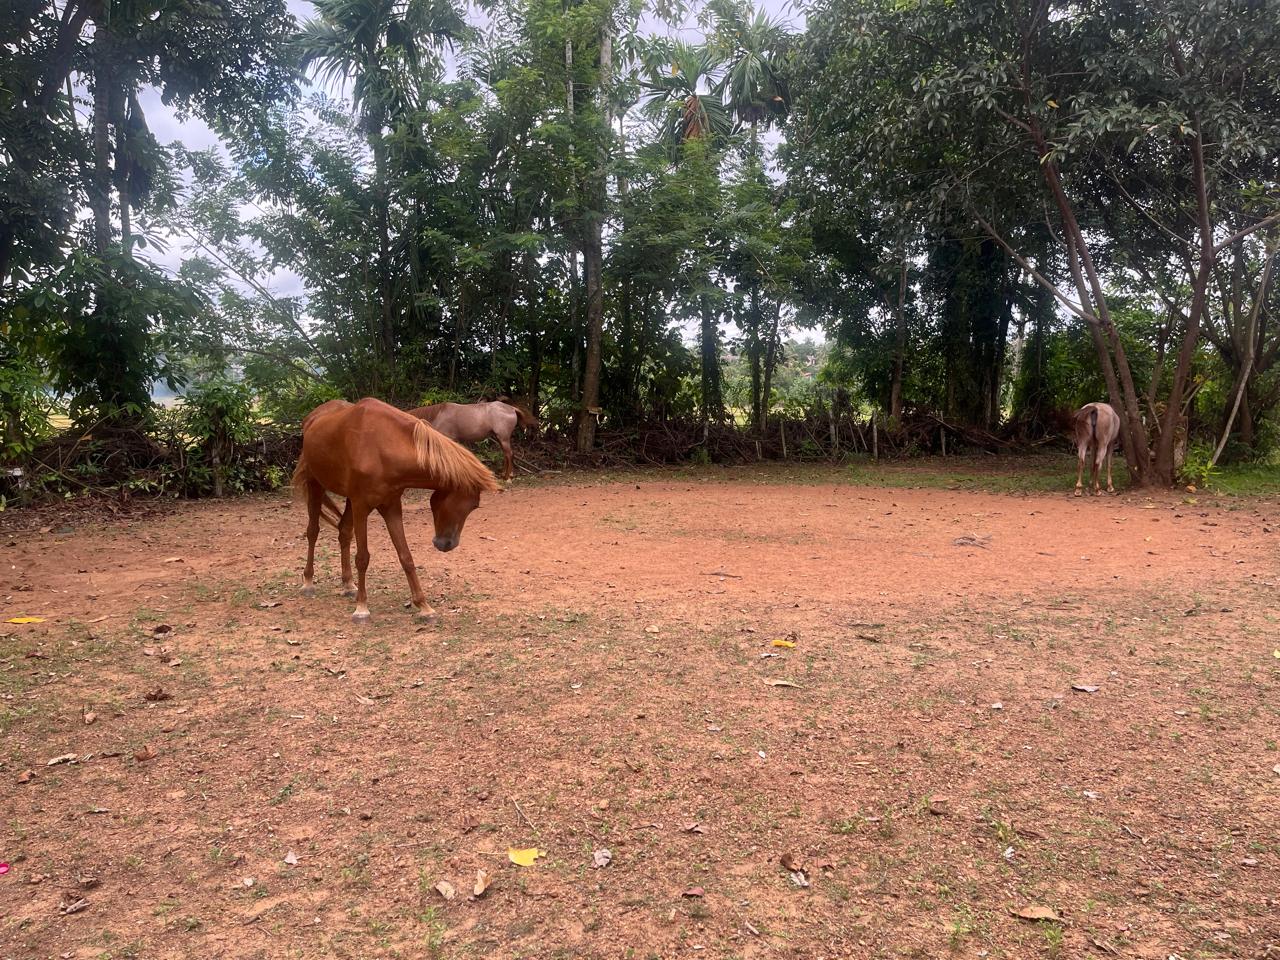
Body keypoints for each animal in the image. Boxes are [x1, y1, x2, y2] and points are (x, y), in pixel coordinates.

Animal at [291, 398, 499, 621]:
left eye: (473, 506)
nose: (446, 544)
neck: (382, 448)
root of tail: (312, 418)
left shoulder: (391, 507)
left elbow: (406, 556)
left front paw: (424, 606)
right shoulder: (361, 506)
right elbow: (362, 558)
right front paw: (361, 608)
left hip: (348, 500)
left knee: (344, 532)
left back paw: (348, 584)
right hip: (316, 486)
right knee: (313, 532)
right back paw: (308, 582)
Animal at [407, 400, 539, 481]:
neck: (439, 415)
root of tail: (511, 408)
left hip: (504, 437)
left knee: (509, 454)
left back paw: (508, 477)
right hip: (500, 438)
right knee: (506, 455)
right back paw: (504, 474)